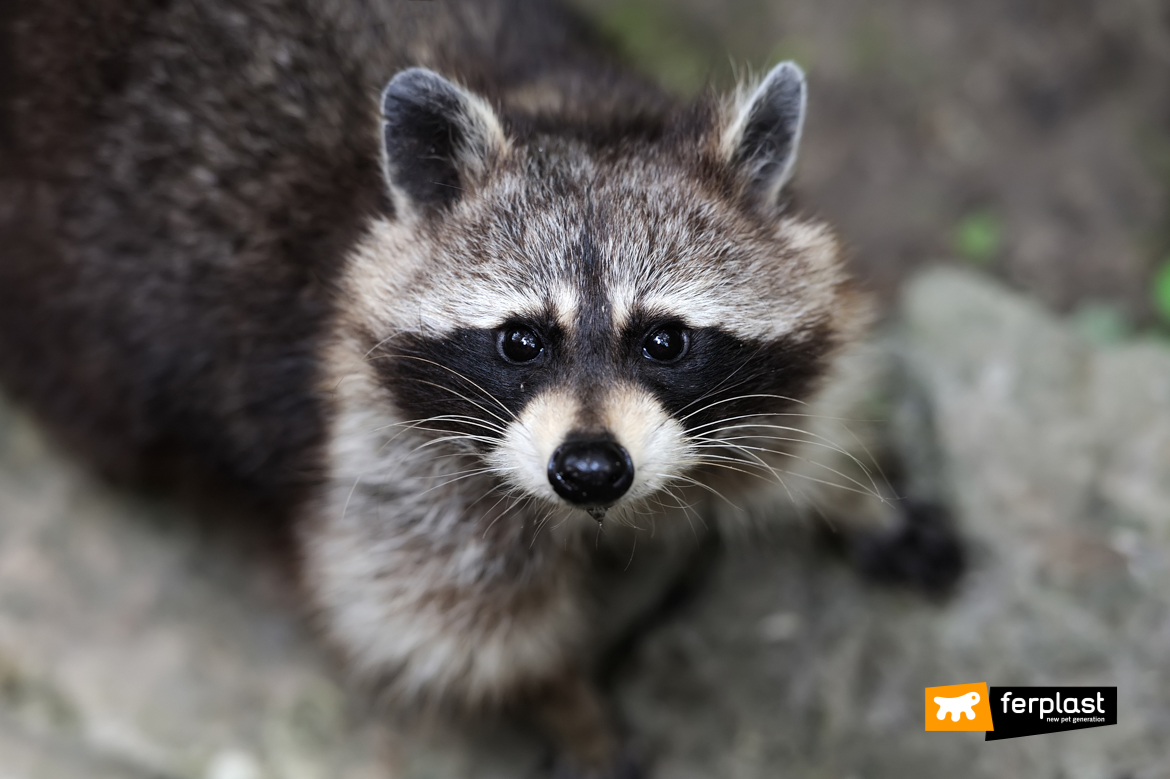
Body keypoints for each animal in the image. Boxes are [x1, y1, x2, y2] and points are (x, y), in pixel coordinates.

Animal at [0, 0, 954, 771]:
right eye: (520, 341)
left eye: (665, 340)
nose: (590, 471)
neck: (569, 110)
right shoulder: (374, 447)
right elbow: (445, 624)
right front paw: (567, 703)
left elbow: (801, 411)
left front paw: (852, 490)